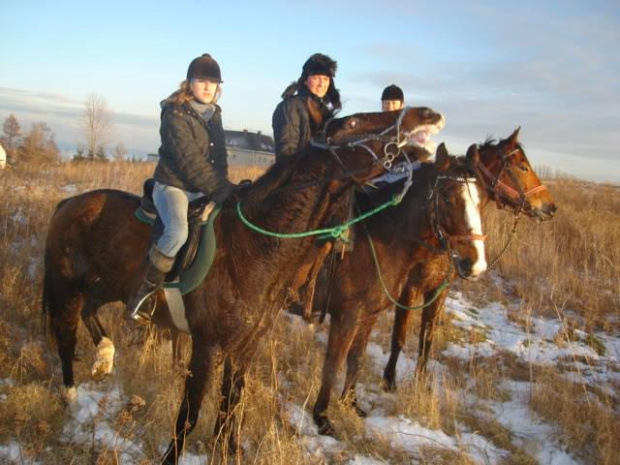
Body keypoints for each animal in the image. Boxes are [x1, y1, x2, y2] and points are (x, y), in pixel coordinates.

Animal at [312, 147, 486, 436]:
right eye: (448, 197)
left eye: (481, 200)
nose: (476, 264)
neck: (375, 241)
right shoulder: (346, 316)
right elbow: (332, 364)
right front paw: (322, 419)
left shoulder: (368, 316)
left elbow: (356, 358)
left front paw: (351, 403)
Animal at [382, 128, 556, 392]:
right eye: (523, 167)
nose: (550, 207)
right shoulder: (408, 288)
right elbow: (399, 336)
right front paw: (389, 381)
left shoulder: (439, 289)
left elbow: (427, 337)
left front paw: (421, 381)